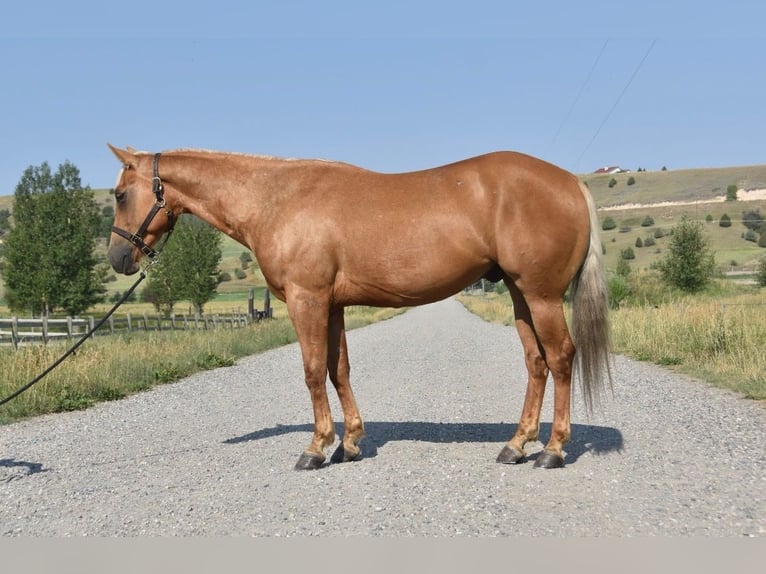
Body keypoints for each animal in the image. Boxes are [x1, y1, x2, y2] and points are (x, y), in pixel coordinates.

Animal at [106, 144, 611, 470]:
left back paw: (553, 450)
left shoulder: (307, 300)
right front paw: (348, 443)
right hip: (520, 294)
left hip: (541, 295)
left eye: (119, 194)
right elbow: (338, 369)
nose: (117, 258)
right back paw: (517, 445)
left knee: (561, 357)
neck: (277, 200)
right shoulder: (332, 306)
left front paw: (315, 448)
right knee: (536, 363)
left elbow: (313, 371)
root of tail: (571, 183)